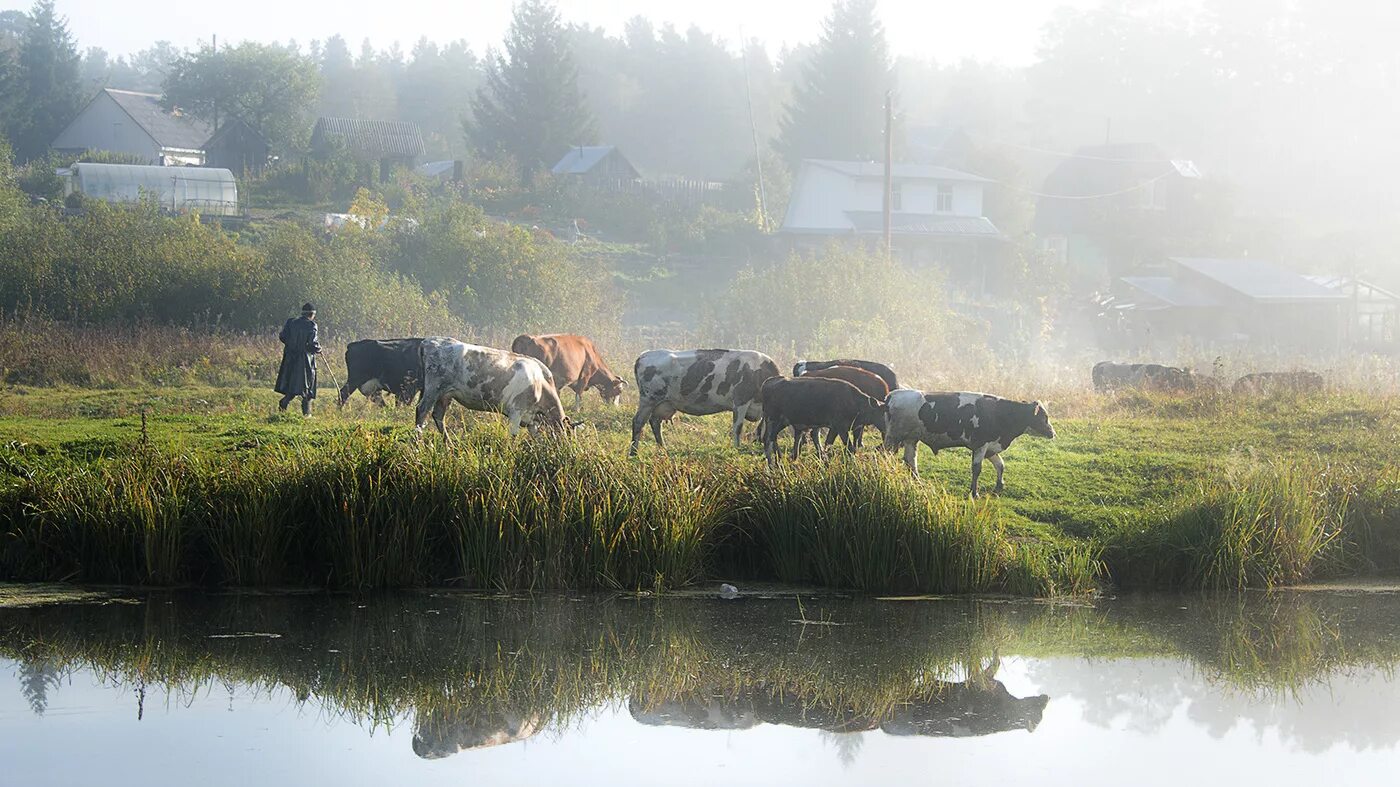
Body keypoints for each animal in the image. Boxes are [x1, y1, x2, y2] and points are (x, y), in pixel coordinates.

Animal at [414, 336, 568, 436]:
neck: (541, 383)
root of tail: (430, 341)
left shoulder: (531, 420)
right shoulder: (516, 411)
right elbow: (513, 436)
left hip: (445, 394)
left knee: (438, 416)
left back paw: (449, 445)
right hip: (433, 389)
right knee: (421, 411)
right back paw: (418, 443)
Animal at [630, 344, 784, 450]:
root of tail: (644, 355)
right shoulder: (740, 401)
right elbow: (737, 428)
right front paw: (737, 448)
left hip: (663, 404)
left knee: (655, 422)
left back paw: (663, 448)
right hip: (648, 399)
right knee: (638, 422)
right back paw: (634, 452)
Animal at [884, 386, 1052, 495]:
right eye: (1044, 417)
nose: (1052, 432)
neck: (1000, 413)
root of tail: (892, 395)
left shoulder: (991, 447)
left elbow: (1000, 465)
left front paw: (999, 486)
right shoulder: (980, 445)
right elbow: (977, 469)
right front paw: (974, 493)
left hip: (911, 439)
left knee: (910, 460)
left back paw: (918, 482)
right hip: (893, 437)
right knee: (886, 455)